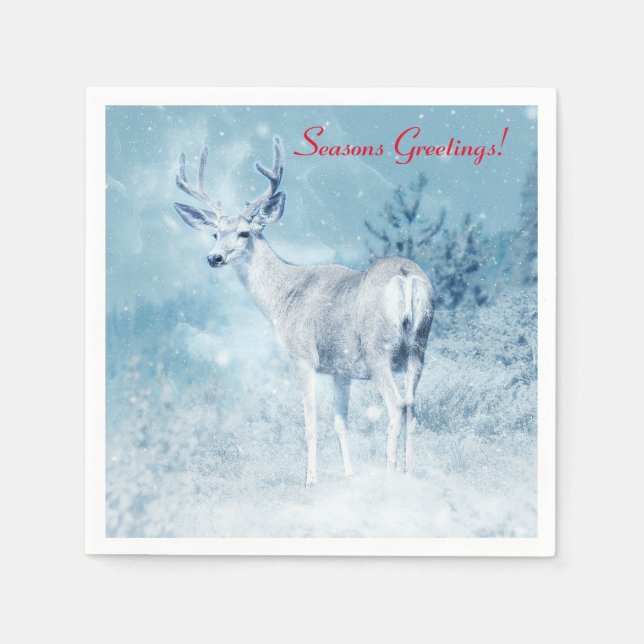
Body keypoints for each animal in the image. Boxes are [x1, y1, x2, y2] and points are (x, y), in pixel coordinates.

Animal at [173, 136, 434, 485]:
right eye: (215, 232)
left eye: (244, 232)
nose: (213, 257)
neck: (283, 297)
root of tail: (406, 276)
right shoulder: (340, 370)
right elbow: (340, 423)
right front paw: (348, 474)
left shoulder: (303, 356)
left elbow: (310, 424)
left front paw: (310, 480)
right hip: (419, 346)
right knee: (412, 405)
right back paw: (409, 473)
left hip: (378, 349)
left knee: (396, 406)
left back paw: (390, 474)